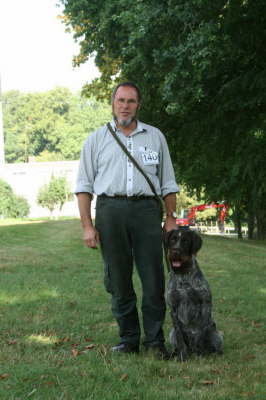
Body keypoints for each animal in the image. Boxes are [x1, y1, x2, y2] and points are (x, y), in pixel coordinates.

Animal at [164, 227, 222, 360]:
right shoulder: (173, 309)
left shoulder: (205, 305)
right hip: (171, 334)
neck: (183, 275)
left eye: (185, 241)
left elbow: (200, 334)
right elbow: (180, 339)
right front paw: (182, 357)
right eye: (173, 239)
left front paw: (200, 355)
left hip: (216, 333)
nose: (175, 251)